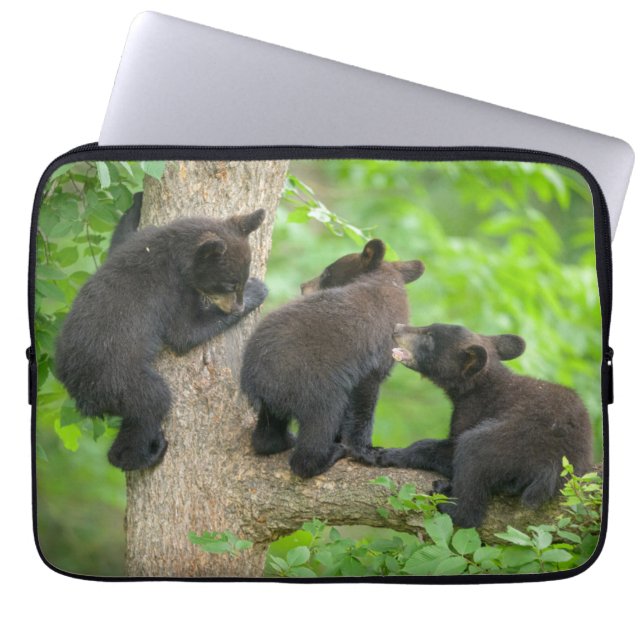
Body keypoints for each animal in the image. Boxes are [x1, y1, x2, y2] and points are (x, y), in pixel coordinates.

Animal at [55, 207, 268, 471]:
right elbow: (184, 332)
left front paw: (135, 204)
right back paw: (146, 454)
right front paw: (257, 291)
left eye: (240, 279)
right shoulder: (172, 290)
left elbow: (119, 238)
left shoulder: (134, 243)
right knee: (152, 404)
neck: (173, 250)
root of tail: (79, 392)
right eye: (231, 284)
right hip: (120, 380)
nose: (237, 307)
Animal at [240, 239, 425, 478]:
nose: (303, 286)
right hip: (314, 386)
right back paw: (328, 454)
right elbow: (363, 402)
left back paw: (281, 441)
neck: (386, 283)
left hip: (277, 399)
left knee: (268, 432)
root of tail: (255, 381)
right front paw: (366, 450)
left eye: (327, 272)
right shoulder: (371, 357)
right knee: (321, 423)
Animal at [368, 323, 594, 528]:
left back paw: (447, 501)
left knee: (473, 457)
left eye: (430, 335)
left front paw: (389, 453)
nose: (397, 327)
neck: (478, 386)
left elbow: (448, 448)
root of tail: (554, 464)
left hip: (517, 440)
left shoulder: (474, 410)